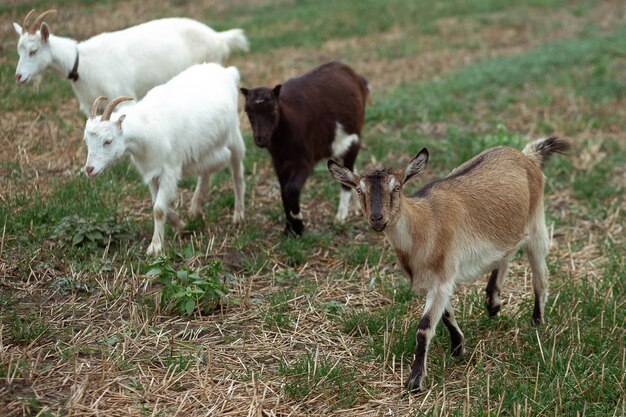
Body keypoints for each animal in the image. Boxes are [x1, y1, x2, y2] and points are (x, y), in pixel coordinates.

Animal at [13, 10, 247, 117]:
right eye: (19, 51)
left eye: (33, 51)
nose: (19, 77)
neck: (82, 63)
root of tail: (218, 37)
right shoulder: (93, 105)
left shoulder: (122, 97)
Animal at [82, 63, 246, 255]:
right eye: (86, 141)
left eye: (108, 141)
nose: (89, 169)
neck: (147, 127)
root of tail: (226, 71)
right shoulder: (152, 172)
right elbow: (157, 203)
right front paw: (181, 225)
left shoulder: (169, 169)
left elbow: (159, 209)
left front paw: (155, 247)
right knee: (207, 171)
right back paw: (195, 207)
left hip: (234, 136)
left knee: (237, 174)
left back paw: (238, 215)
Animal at [238, 62, 366, 237]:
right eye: (248, 111)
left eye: (274, 109)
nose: (260, 139)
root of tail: (353, 74)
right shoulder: (279, 162)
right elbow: (283, 192)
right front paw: (288, 229)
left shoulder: (305, 159)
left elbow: (291, 189)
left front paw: (298, 225)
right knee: (350, 170)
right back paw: (356, 207)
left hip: (352, 138)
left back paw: (340, 217)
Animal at [330, 136, 568, 390]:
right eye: (359, 189)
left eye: (397, 187)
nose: (377, 219)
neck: (425, 224)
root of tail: (527, 156)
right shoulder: (435, 281)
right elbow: (445, 315)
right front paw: (458, 347)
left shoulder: (443, 276)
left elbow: (424, 327)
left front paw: (415, 380)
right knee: (507, 253)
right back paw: (493, 302)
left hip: (536, 224)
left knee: (540, 275)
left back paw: (537, 321)